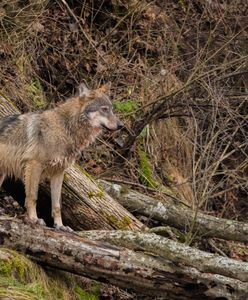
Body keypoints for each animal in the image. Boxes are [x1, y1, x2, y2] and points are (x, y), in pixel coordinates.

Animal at [0, 83, 123, 231]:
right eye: (104, 109)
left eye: (111, 110)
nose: (121, 125)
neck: (65, 128)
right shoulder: (34, 165)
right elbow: (32, 197)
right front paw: (34, 219)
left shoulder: (59, 172)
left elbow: (57, 205)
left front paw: (60, 226)